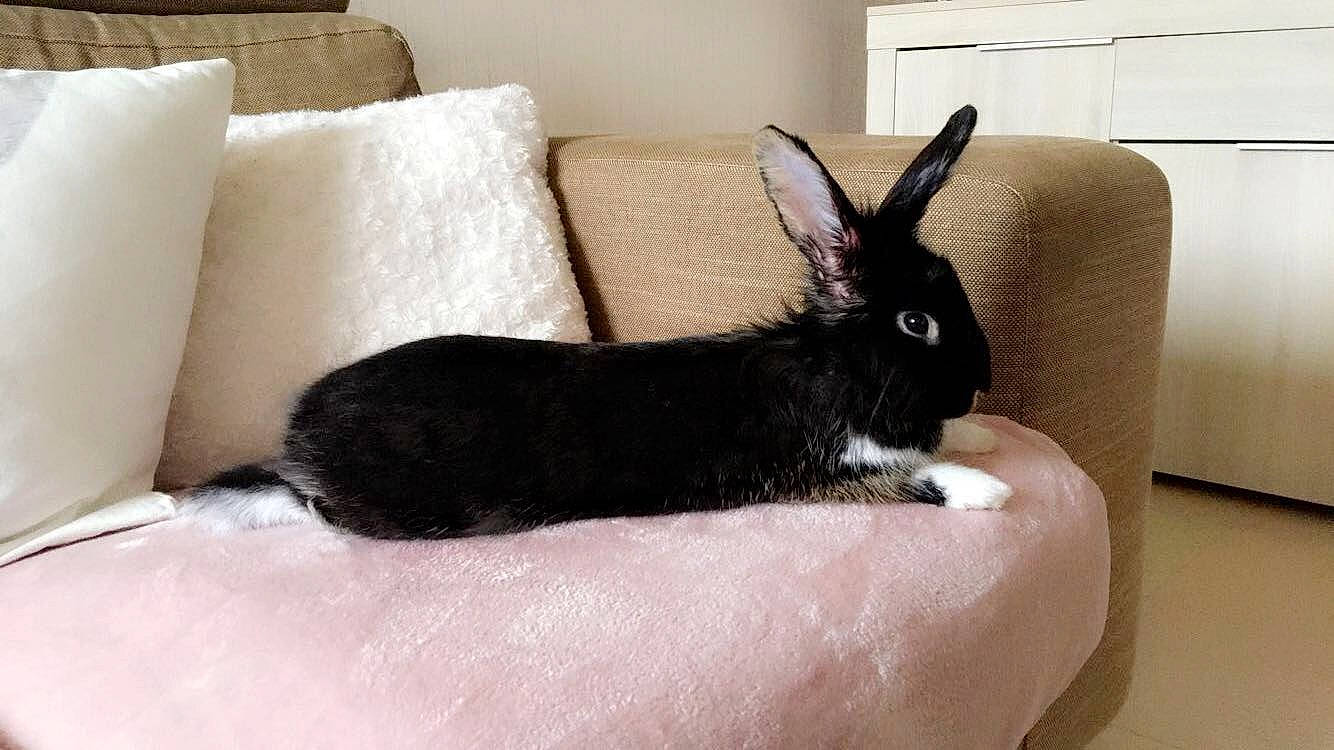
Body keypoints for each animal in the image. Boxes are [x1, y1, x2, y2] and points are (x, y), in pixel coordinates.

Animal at [183, 104, 1011, 538]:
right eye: (915, 323)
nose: (982, 382)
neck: (829, 368)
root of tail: (293, 449)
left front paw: (979, 435)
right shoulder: (806, 475)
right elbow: (898, 480)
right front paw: (985, 489)